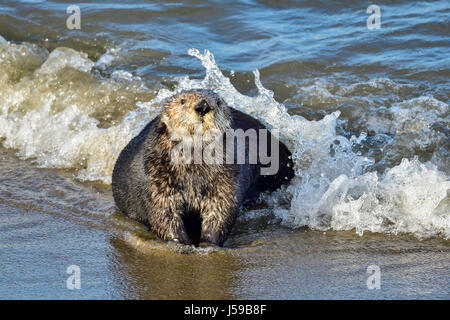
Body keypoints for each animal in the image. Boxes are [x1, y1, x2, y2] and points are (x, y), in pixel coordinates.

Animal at [112, 89, 294, 246]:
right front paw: (181, 242)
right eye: (182, 101)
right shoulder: (156, 178)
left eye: (218, 102)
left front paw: (209, 242)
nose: (203, 106)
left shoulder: (226, 181)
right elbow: (163, 213)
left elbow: (222, 210)